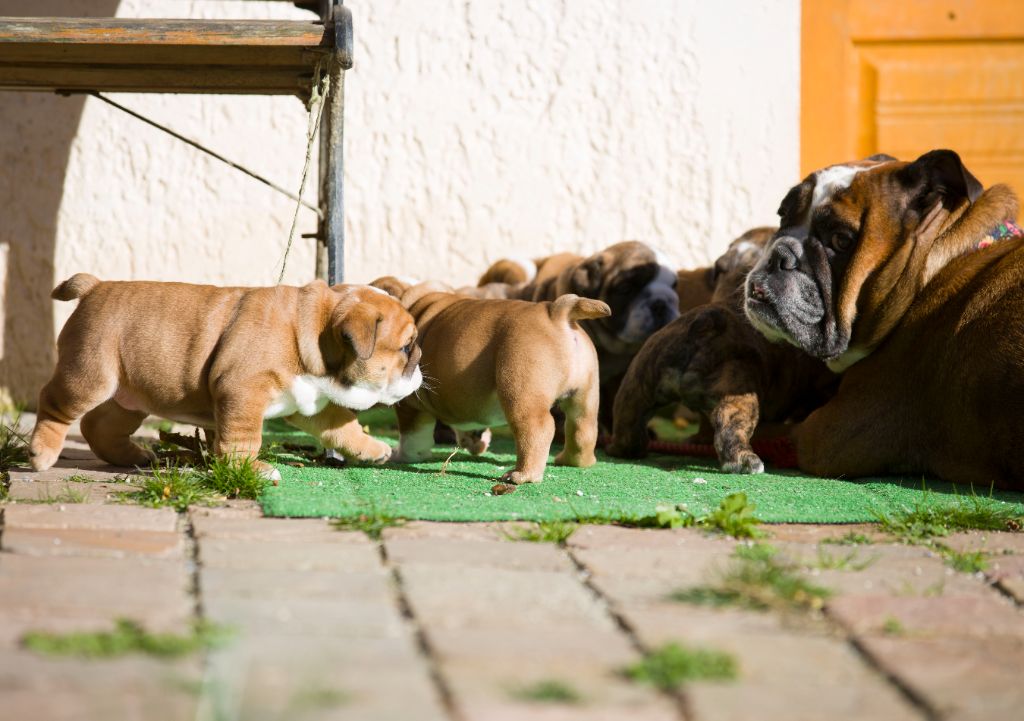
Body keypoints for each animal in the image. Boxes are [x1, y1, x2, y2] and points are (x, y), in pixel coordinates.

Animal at [29, 276, 419, 479]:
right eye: (406, 347)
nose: (419, 363)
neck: (312, 330)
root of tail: (94, 287)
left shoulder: (309, 403)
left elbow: (342, 426)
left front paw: (372, 449)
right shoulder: (243, 392)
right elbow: (244, 438)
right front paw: (249, 468)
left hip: (129, 397)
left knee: (100, 425)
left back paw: (134, 456)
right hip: (90, 376)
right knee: (54, 404)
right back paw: (41, 453)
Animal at [380, 280, 610, 483]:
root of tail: (556, 312)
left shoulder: (410, 405)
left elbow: (412, 438)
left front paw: (400, 455)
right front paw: (475, 441)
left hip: (520, 393)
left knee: (537, 429)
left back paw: (522, 475)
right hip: (585, 395)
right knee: (582, 428)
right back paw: (575, 461)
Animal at [606, 226, 831, 473]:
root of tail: (705, 321)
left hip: (637, 384)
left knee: (628, 423)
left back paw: (623, 448)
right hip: (738, 394)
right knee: (730, 429)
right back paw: (745, 461)